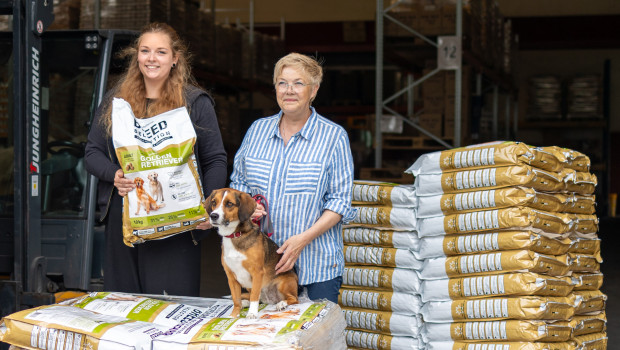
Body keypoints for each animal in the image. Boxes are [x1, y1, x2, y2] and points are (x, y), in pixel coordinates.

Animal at [206, 187, 298, 318]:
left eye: (229, 204)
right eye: (214, 202)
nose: (213, 215)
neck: (235, 236)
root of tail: (271, 299)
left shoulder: (257, 272)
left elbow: (255, 296)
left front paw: (252, 314)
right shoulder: (231, 277)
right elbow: (236, 299)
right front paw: (234, 315)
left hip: (283, 283)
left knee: (294, 299)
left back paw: (282, 303)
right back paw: (245, 303)